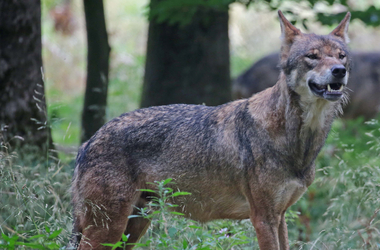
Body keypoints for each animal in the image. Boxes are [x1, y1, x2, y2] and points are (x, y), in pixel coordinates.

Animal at [70, 11, 352, 250]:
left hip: (132, 227)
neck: (298, 141)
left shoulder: (280, 216)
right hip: (108, 228)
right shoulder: (263, 217)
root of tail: (88, 141)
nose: (340, 71)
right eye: (312, 56)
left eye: (341, 56)